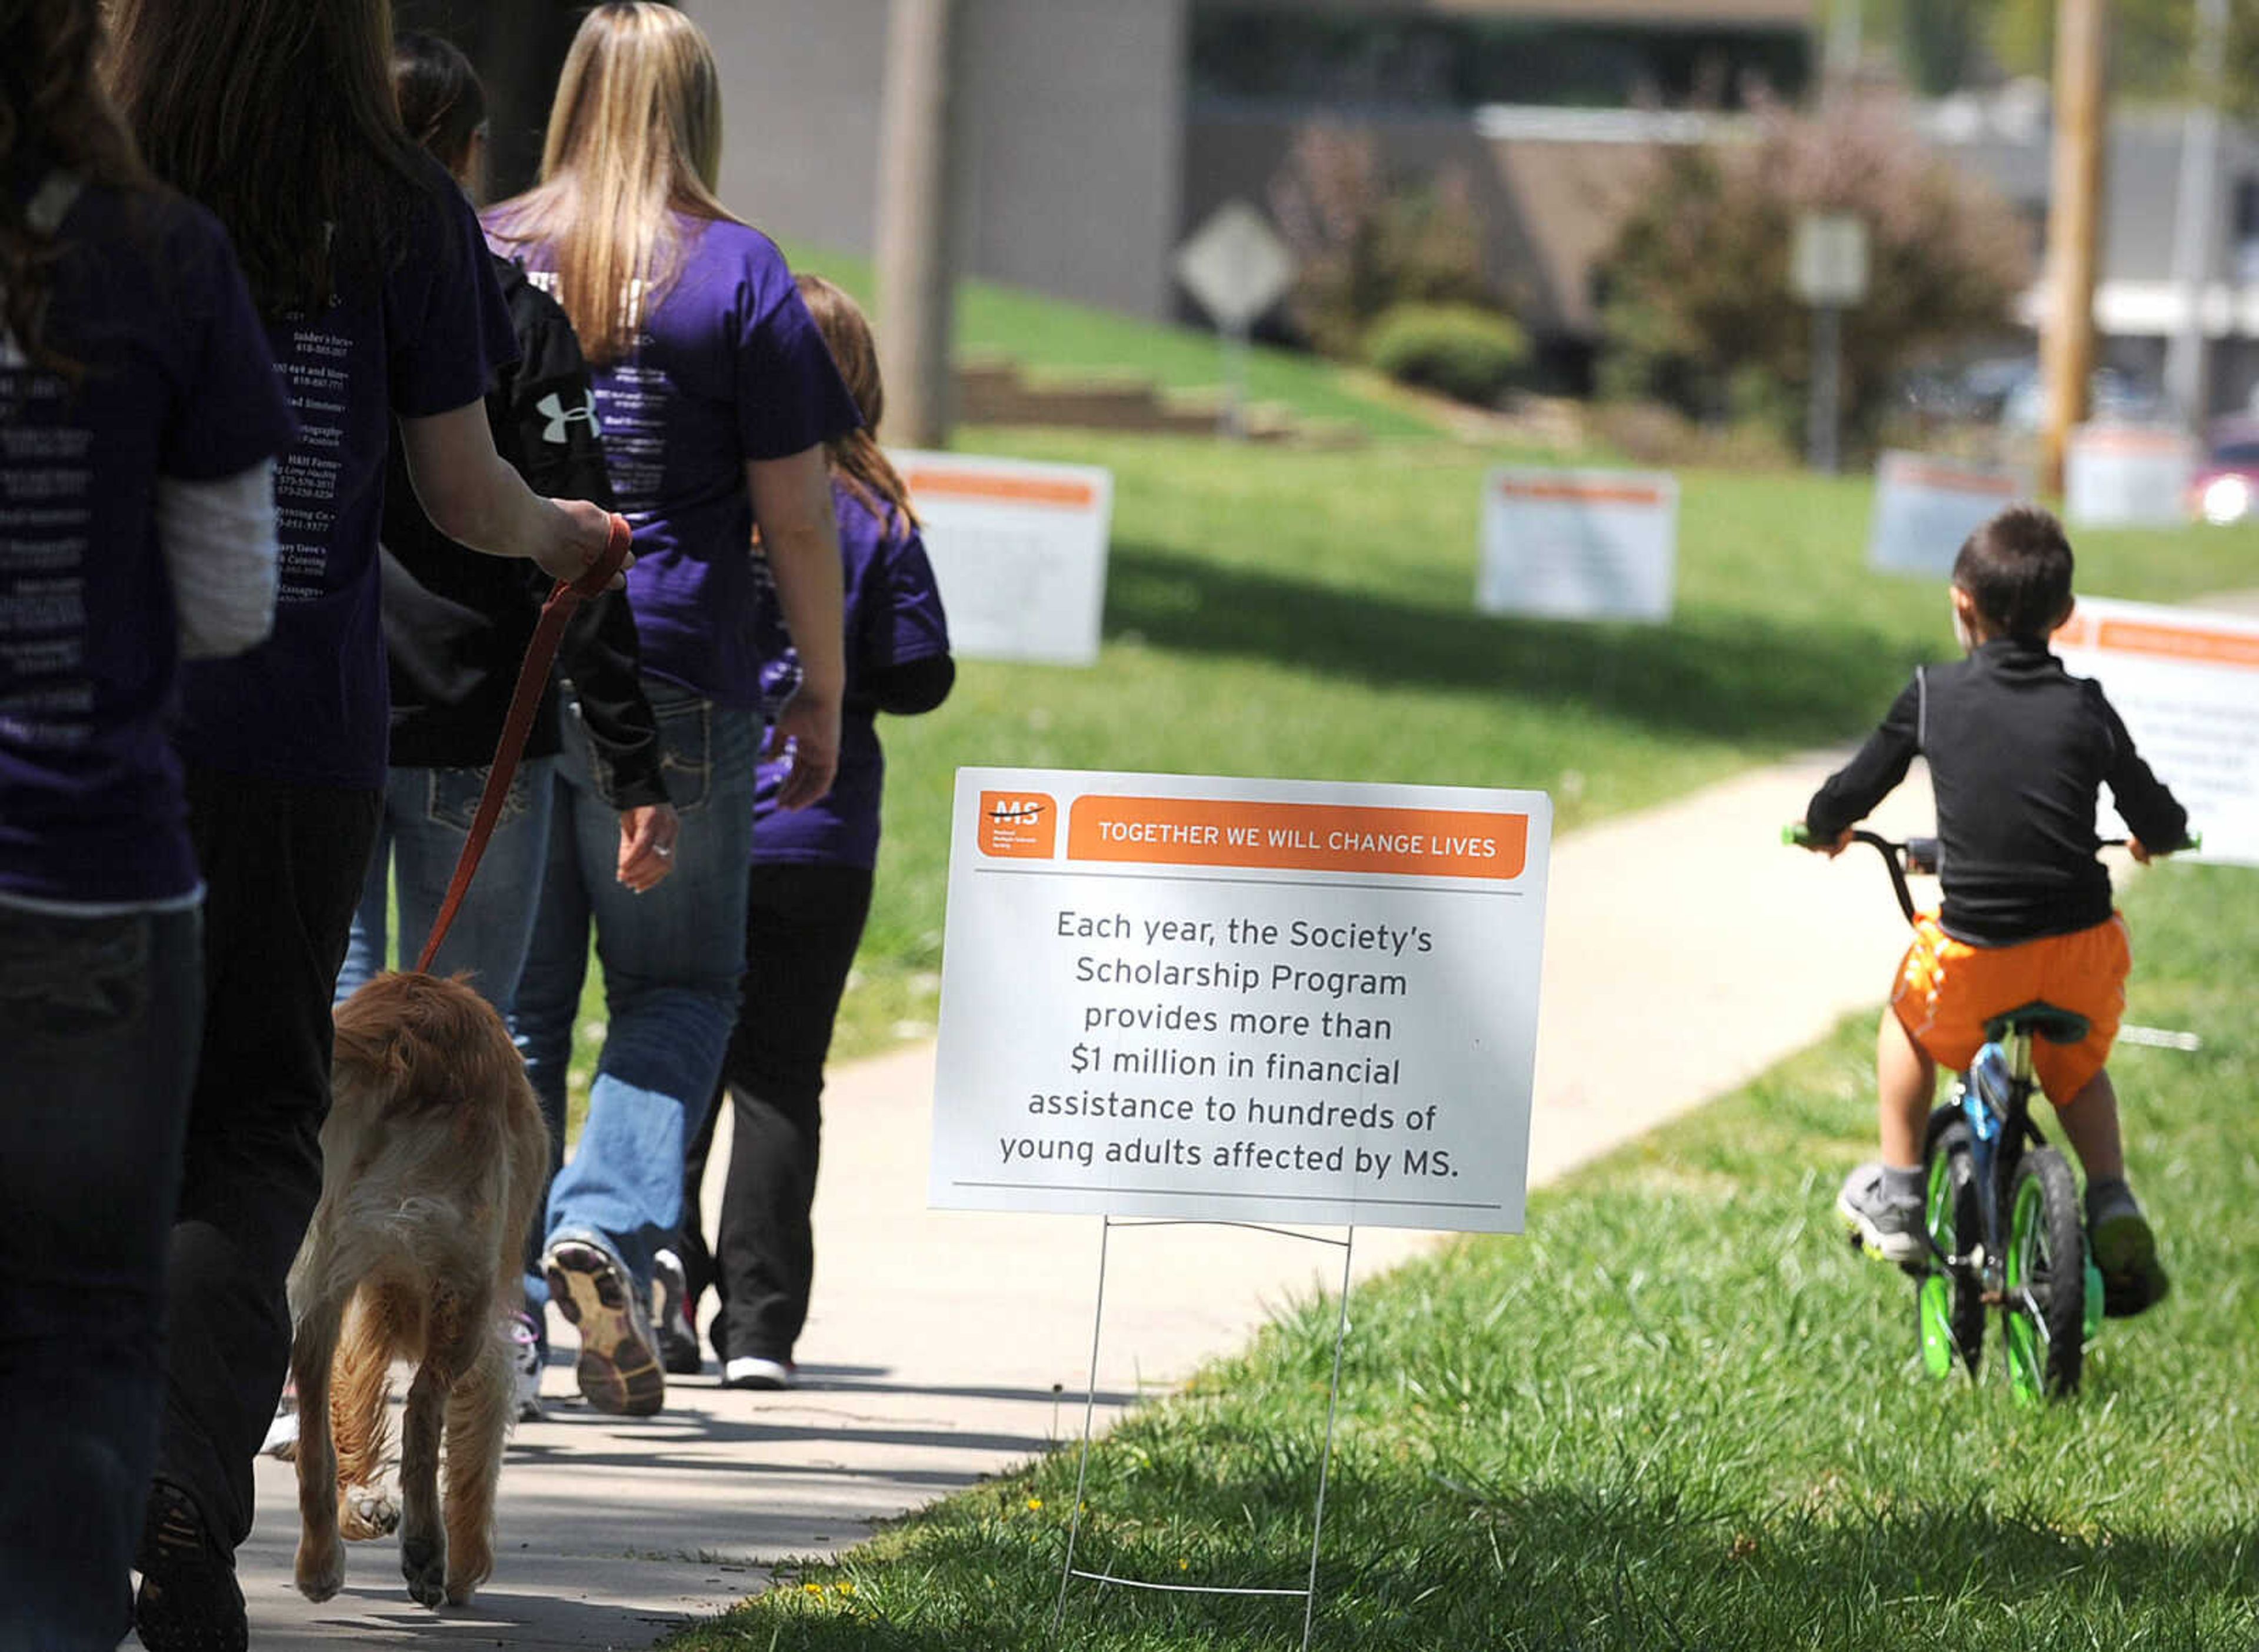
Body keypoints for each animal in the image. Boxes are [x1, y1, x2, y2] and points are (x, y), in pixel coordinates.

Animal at [289, 976, 549, 1609]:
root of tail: (400, 1036)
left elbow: (348, 1406)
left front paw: (360, 1508)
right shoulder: (493, 1347)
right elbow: (477, 1452)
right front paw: (467, 1565)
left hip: (320, 1265)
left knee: (312, 1416)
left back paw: (320, 1564)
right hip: (466, 1281)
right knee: (424, 1410)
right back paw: (429, 1552)